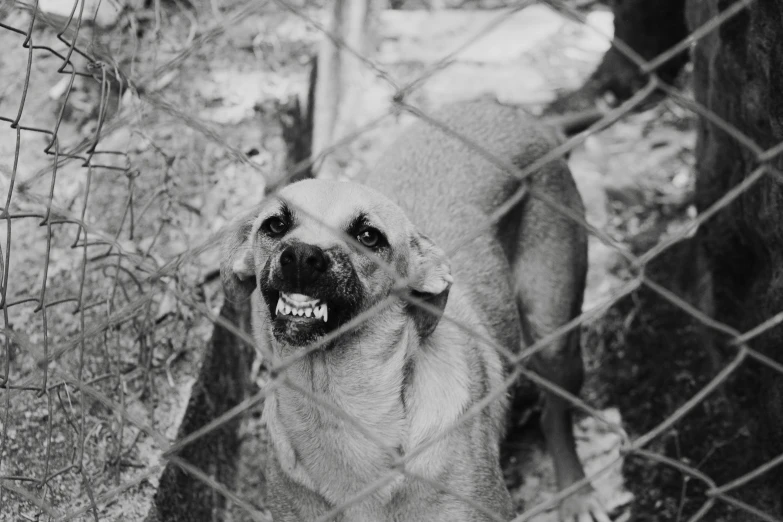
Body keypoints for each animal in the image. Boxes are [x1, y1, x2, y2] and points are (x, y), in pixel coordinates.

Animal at [224, 99, 608, 516]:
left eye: (368, 236)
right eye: (275, 225)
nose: (301, 257)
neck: (339, 407)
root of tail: (523, 116)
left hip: (554, 335)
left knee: (556, 413)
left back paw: (577, 494)